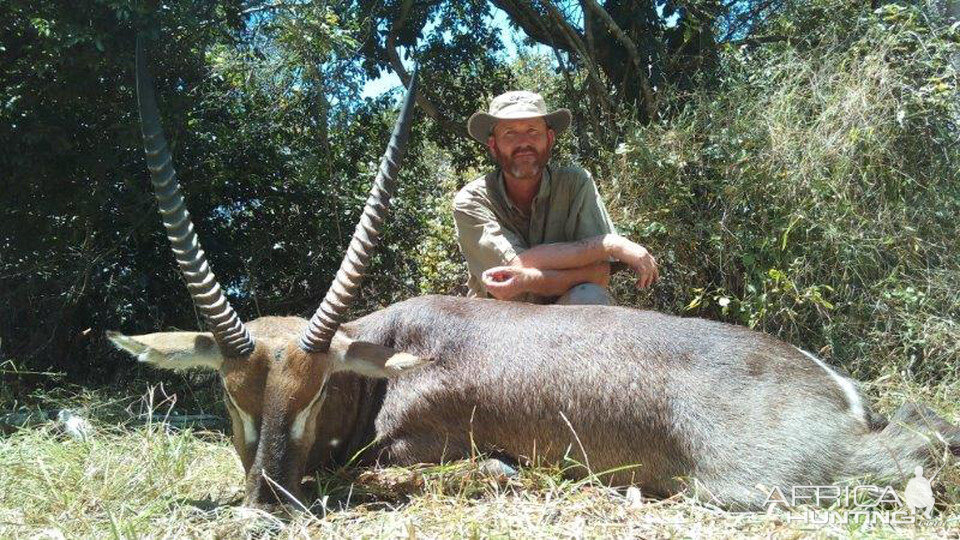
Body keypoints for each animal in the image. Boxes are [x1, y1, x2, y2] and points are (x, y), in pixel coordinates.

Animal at [109, 39, 956, 510]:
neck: (392, 345)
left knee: (915, 445)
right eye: (229, 390)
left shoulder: (414, 443)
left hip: (759, 480)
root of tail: (828, 380)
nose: (267, 503)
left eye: (317, 389)